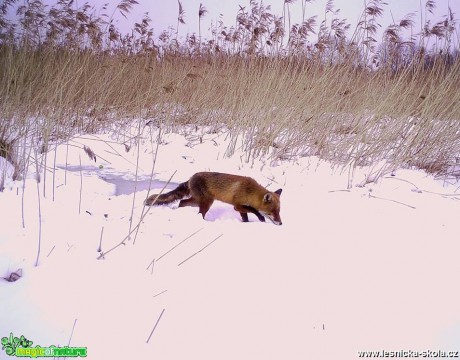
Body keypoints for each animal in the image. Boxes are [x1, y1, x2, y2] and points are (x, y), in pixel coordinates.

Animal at [144, 172, 282, 225]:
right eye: (272, 212)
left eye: (279, 211)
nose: (281, 223)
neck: (249, 191)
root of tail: (191, 177)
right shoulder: (237, 206)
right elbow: (254, 210)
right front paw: (261, 218)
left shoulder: (241, 209)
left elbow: (246, 217)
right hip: (206, 202)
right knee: (199, 212)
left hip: (198, 201)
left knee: (182, 202)